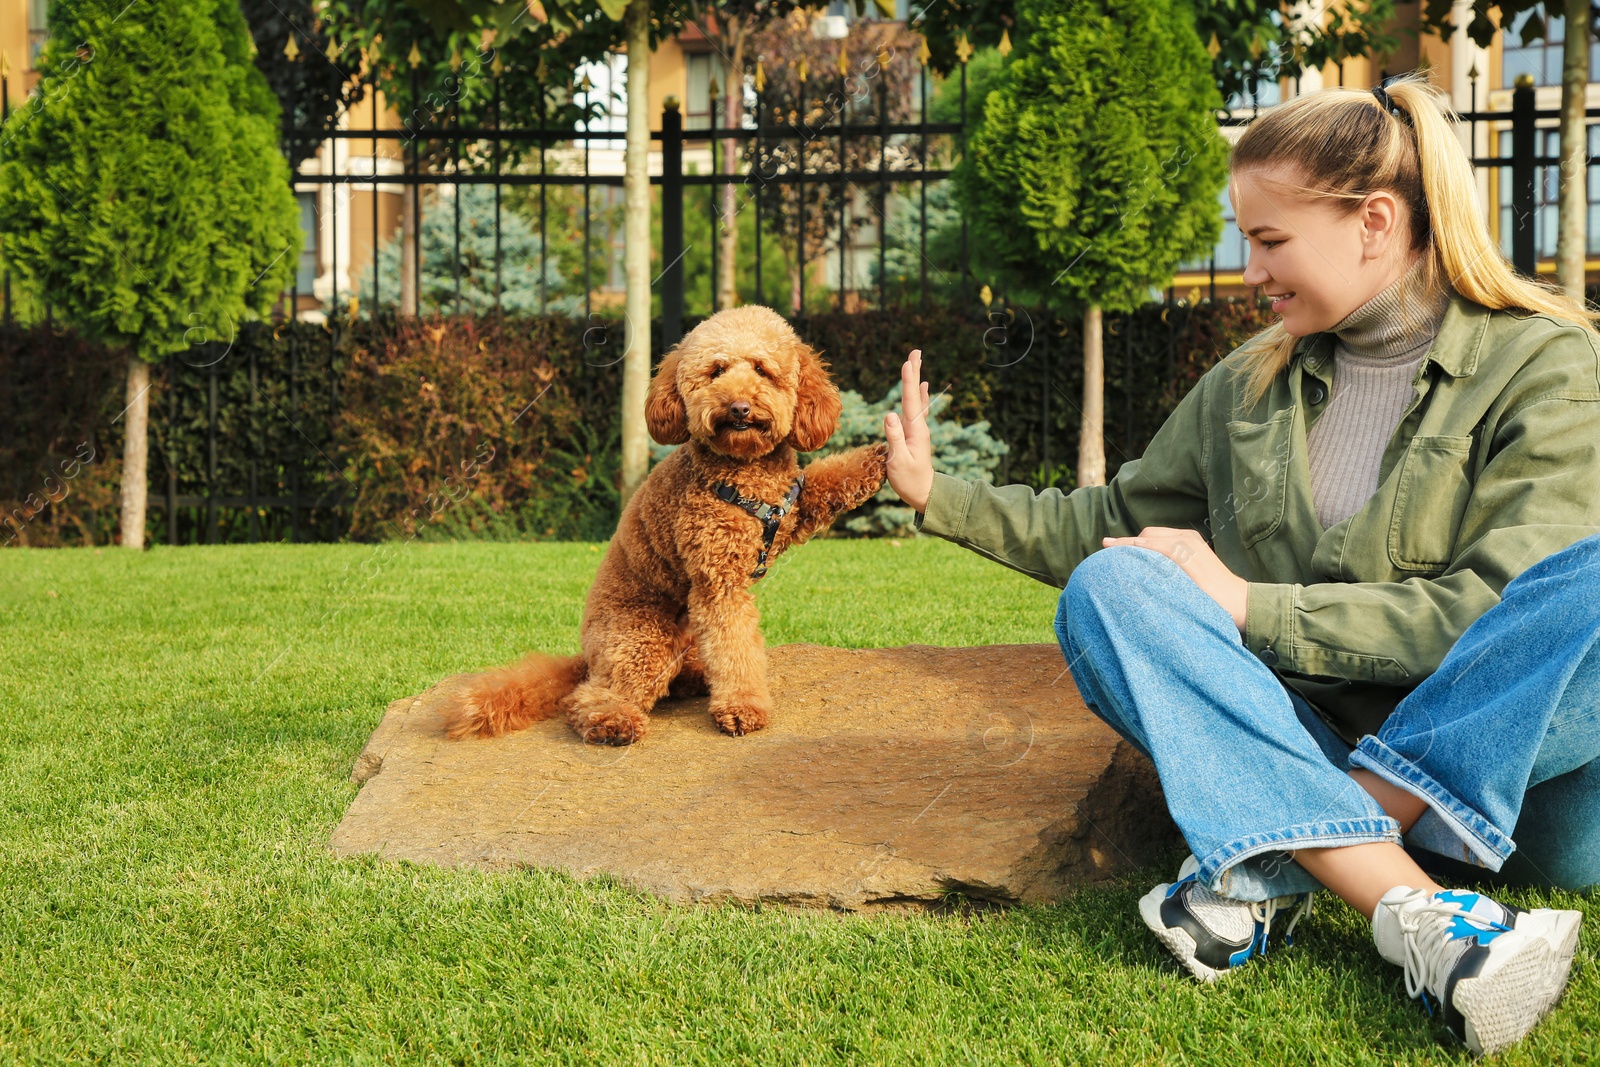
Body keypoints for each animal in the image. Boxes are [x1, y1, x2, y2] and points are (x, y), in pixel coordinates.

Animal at [425, 303, 896, 748]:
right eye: (716, 371)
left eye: (762, 369)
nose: (739, 407)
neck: (744, 470)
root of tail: (587, 656)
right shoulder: (718, 580)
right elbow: (734, 645)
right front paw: (742, 706)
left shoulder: (792, 509)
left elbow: (830, 477)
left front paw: (884, 453)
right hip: (643, 640)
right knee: (589, 697)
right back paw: (613, 721)